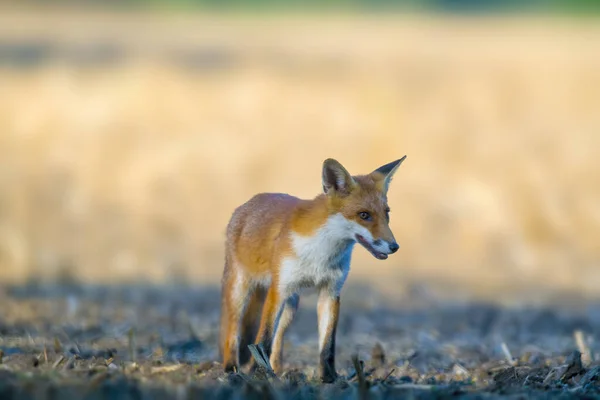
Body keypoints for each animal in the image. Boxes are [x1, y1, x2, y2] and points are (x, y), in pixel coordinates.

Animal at [221, 155, 408, 382]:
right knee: (233, 331)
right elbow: (263, 338)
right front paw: (258, 374)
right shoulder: (278, 289)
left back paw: (277, 371)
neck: (321, 254)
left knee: (278, 338)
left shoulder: (330, 292)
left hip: (291, 305)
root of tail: (249, 202)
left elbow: (327, 345)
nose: (394, 247)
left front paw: (329, 378)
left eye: (386, 214)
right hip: (240, 291)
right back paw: (231, 368)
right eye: (364, 215)